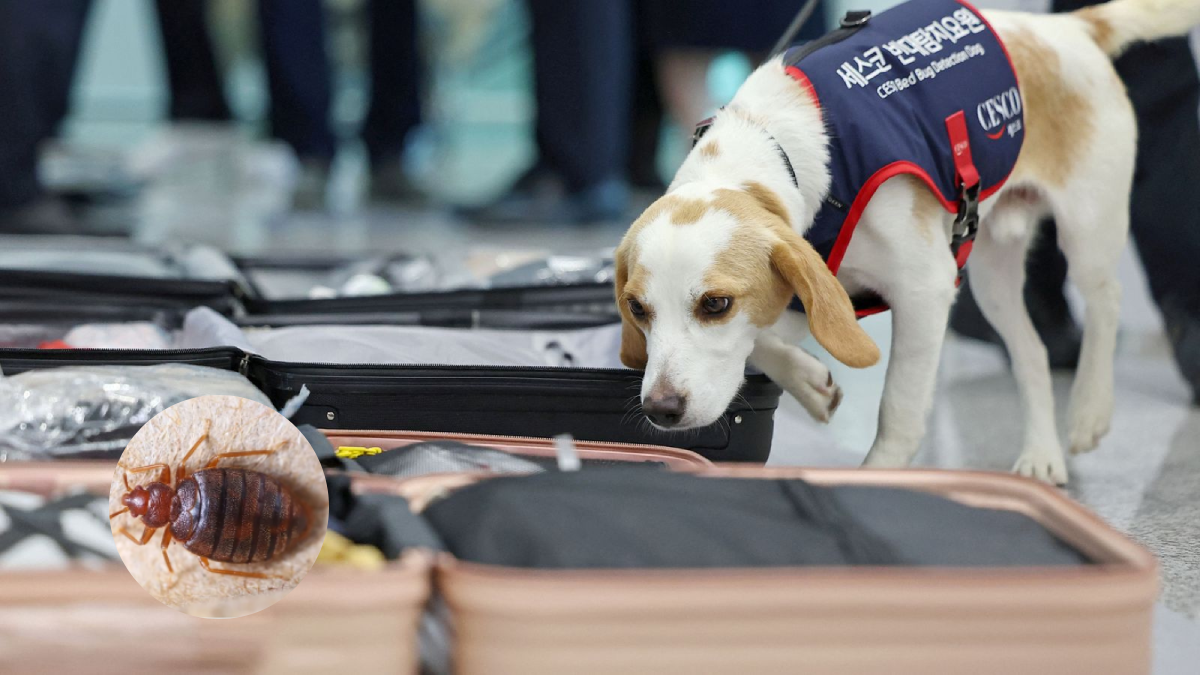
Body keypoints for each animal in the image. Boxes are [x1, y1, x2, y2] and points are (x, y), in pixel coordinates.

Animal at [614, 0, 1195, 480]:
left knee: (1105, 303)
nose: (661, 409)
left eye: (716, 304)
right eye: (638, 310)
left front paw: (879, 475)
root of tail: (1068, 27)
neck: (775, 145)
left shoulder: (925, 291)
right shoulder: (812, 288)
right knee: (1031, 351)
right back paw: (1042, 455)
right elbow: (766, 340)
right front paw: (809, 382)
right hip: (990, 276)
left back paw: (1090, 410)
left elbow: (899, 407)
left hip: (1088, 228)